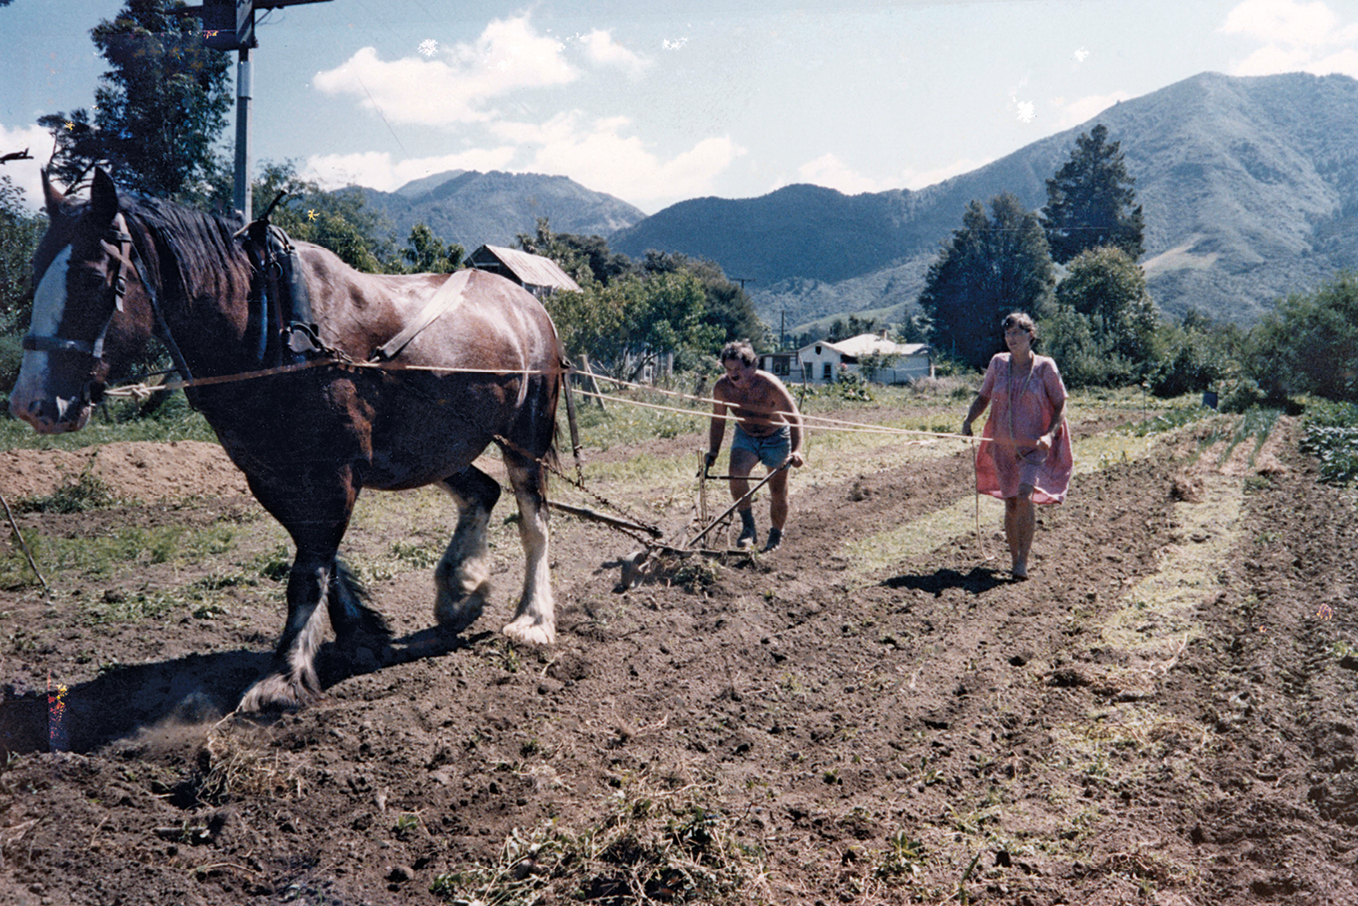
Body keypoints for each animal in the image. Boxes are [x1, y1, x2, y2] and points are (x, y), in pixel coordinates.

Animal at [10, 168, 562, 706]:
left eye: (93, 277)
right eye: (34, 269)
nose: (31, 404)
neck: (276, 324)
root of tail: (527, 304)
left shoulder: (334, 473)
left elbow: (308, 571)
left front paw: (283, 676)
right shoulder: (271, 474)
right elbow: (322, 561)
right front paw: (360, 637)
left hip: (525, 434)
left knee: (533, 520)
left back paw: (533, 618)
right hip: (433, 446)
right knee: (481, 492)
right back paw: (460, 590)